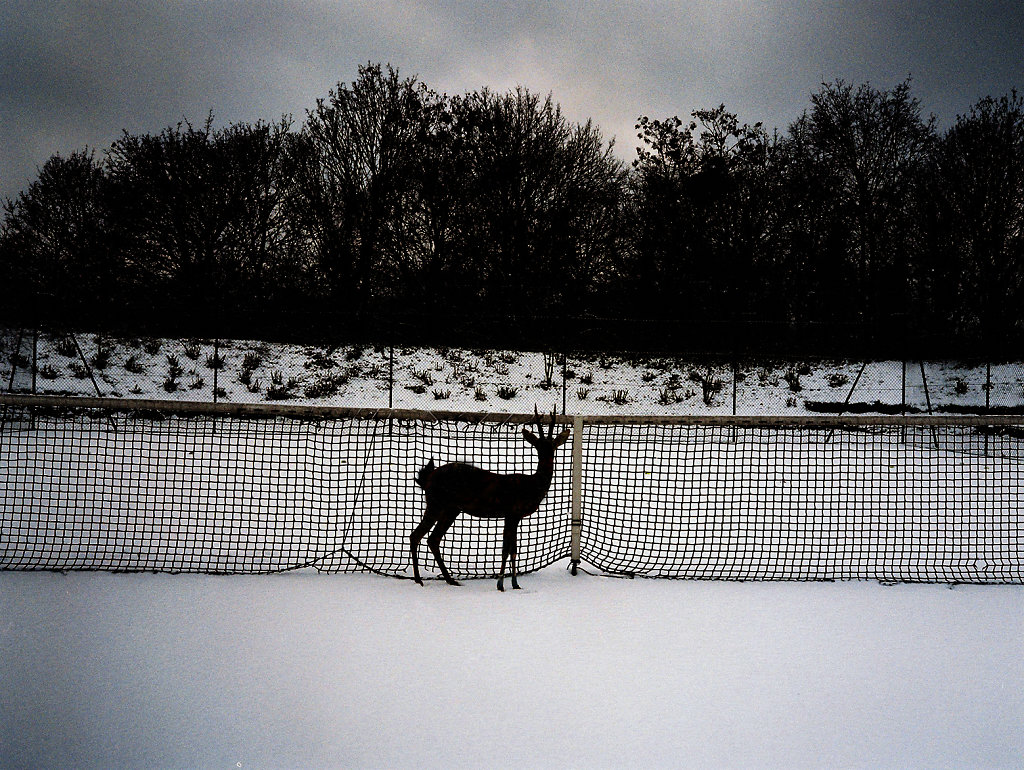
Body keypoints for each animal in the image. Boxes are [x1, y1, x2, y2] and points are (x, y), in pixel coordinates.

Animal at [411, 407, 570, 591]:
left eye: (552, 446)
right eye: (538, 446)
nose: (548, 459)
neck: (532, 487)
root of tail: (427, 478)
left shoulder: (514, 516)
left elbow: (513, 549)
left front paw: (515, 584)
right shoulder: (512, 512)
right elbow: (506, 549)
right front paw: (501, 584)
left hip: (451, 508)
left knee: (433, 539)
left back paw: (450, 580)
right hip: (436, 503)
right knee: (416, 535)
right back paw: (419, 580)